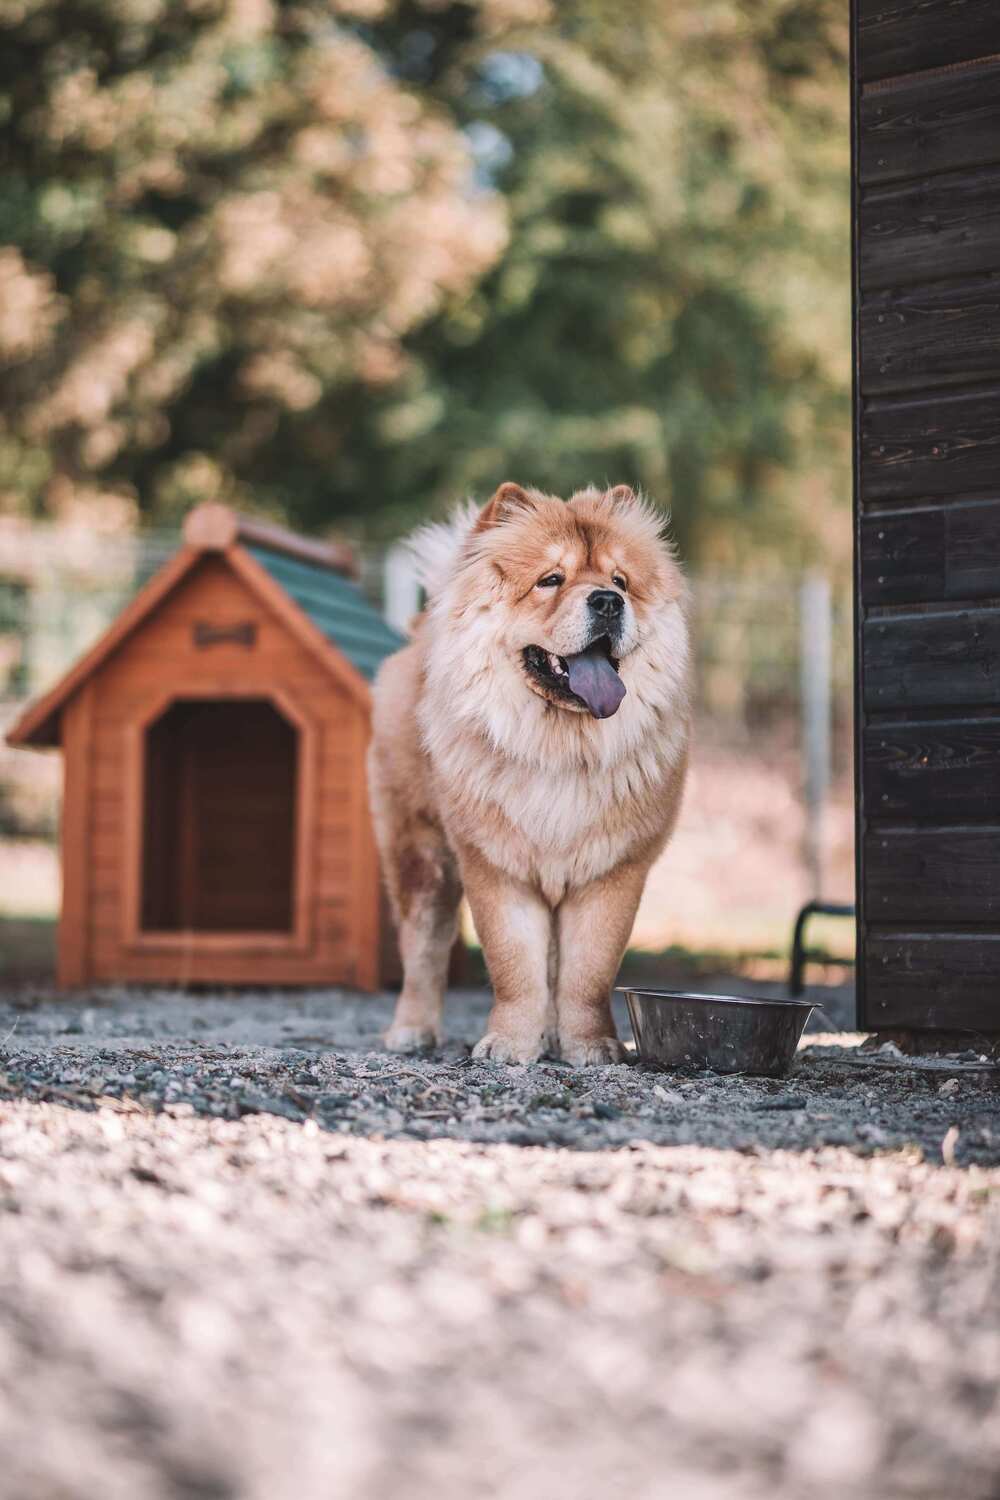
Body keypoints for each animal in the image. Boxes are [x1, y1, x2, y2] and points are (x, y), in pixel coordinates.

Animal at [365, 483, 689, 1068]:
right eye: (550, 580)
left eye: (620, 581)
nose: (608, 602)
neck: (558, 749)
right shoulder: (498, 868)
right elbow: (515, 967)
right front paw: (510, 1045)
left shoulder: (610, 872)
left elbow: (587, 973)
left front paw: (591, 1046)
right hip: (420, 857)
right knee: (422, 951)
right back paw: (411, 1032)